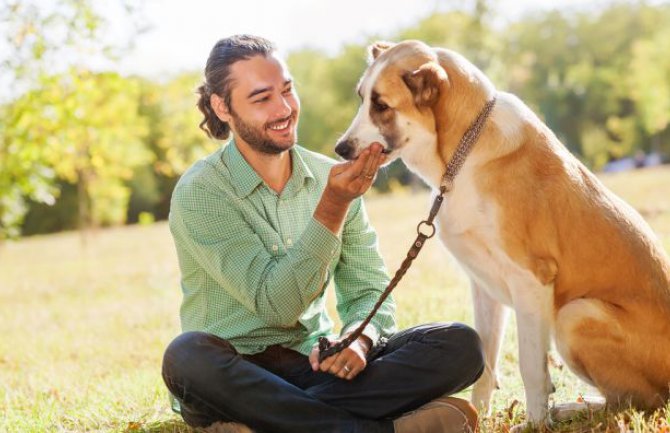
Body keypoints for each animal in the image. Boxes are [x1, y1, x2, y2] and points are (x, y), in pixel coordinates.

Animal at [336, 38, 670, 426]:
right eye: (362, 98)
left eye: (381, 105)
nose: (340, 149)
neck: (463, 153)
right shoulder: (484, 286)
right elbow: (486, 360)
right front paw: (479, 416)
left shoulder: (531, 281)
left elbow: (531, 366)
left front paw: (536, 425)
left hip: (575, 314)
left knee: (638, 401)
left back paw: (572, 409)